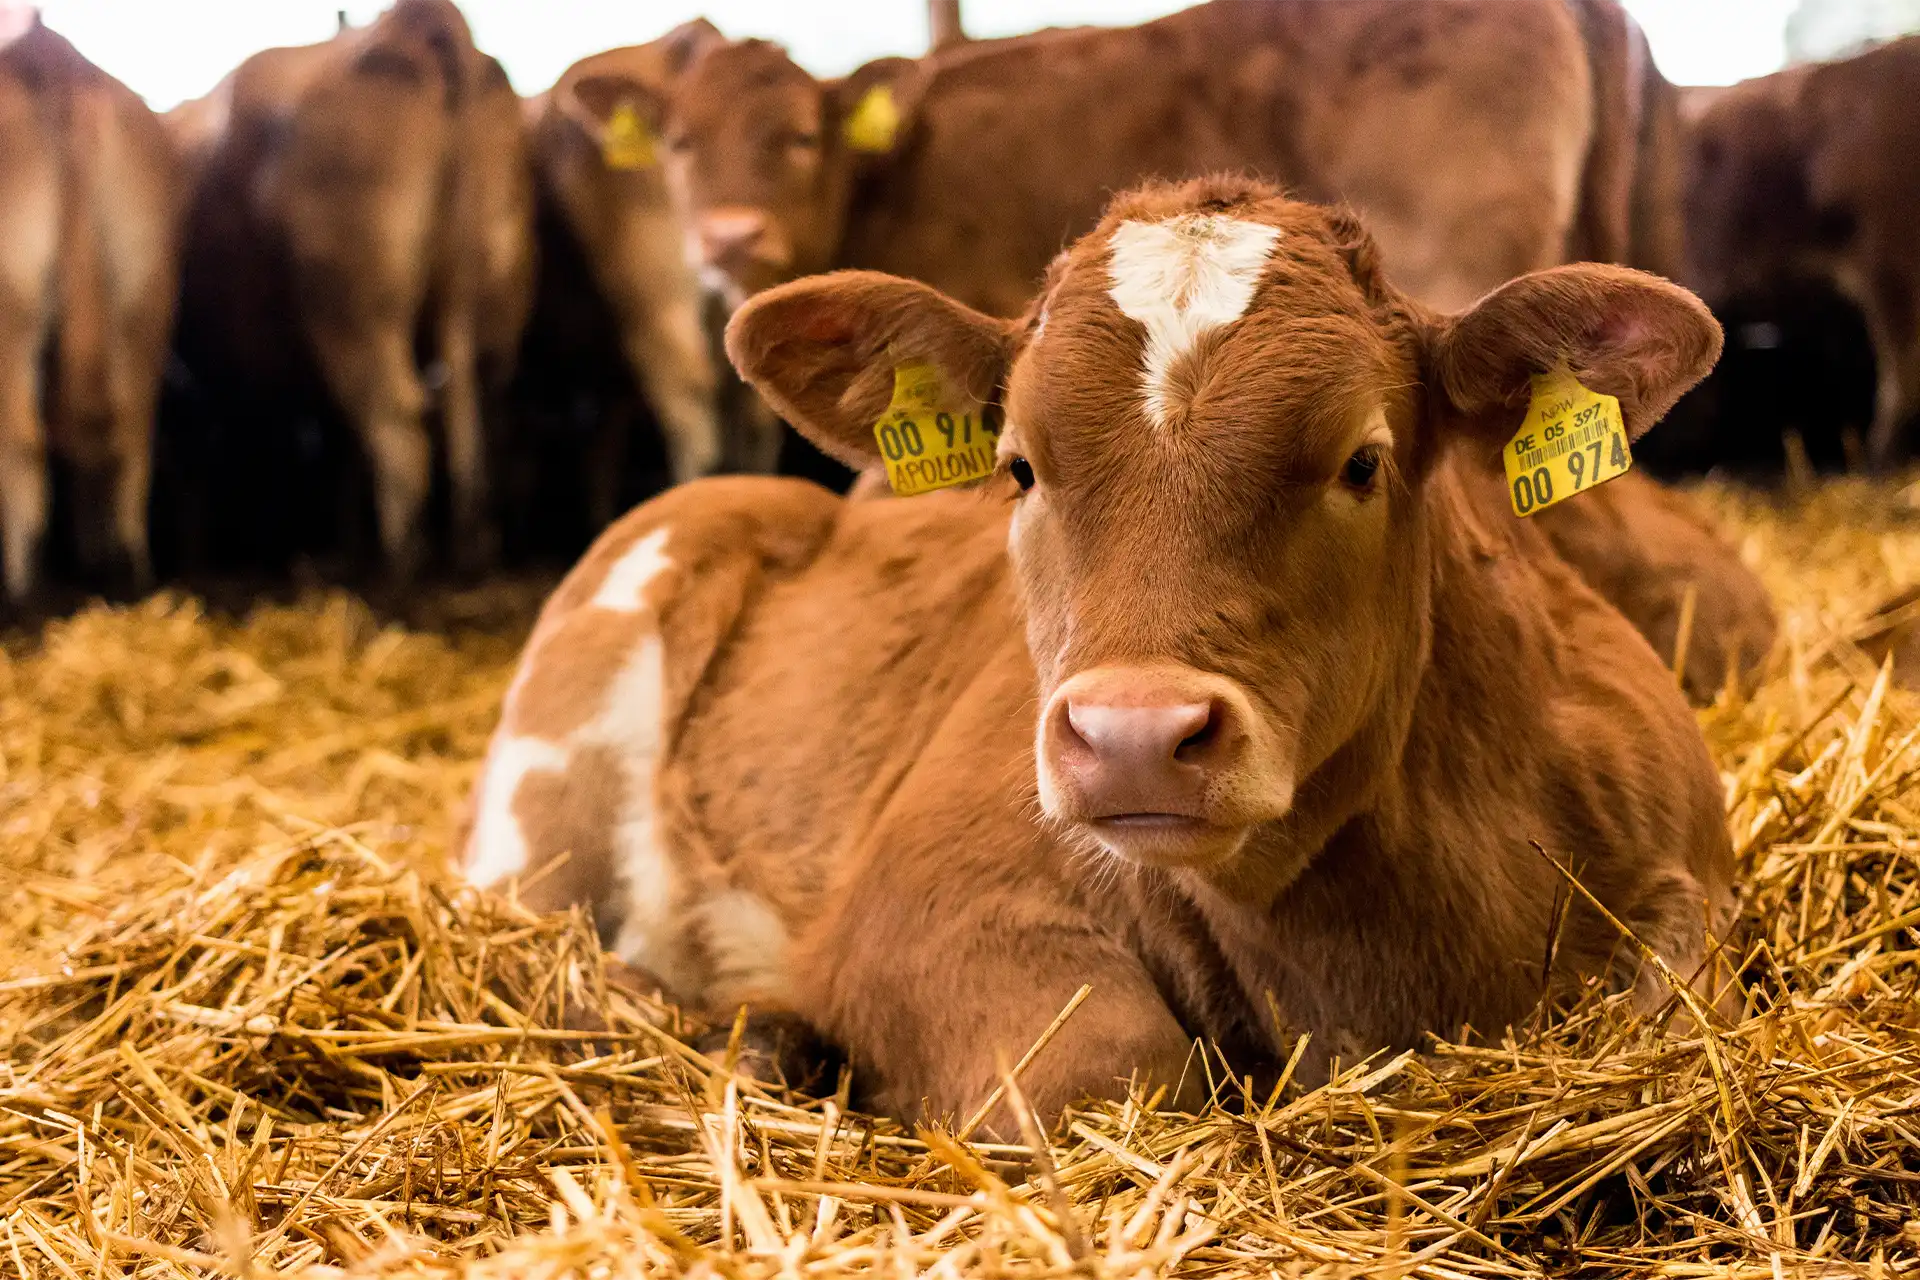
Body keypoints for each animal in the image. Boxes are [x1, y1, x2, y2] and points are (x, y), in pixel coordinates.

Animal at [0, 16, 180, 602]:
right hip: (145, 294)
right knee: (132, 437)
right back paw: (125, 571)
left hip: (12, 306)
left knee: (22, 444)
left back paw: (19, 590)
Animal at [464, 180, 1743, 1128]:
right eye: (1021, 465)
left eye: (1362, 460)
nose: (1133, 736)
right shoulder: (919, 897)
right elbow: (1110, 1067)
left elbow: (1669, 993)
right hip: (540, 810)